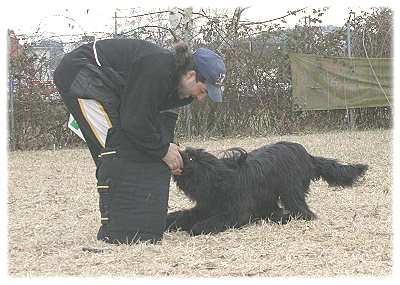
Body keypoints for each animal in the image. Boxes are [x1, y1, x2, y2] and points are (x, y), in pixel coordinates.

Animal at [166, 141, 368, 234]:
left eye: (190, 157)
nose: (176, 149)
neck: (220, 181)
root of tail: (306, 154)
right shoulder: (205, 207)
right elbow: (183, 215)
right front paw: (171, 222)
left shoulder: (236, 213)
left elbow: (211, 222)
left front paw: (196, 227)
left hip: (290, 190)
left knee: (304, 213)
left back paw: (281, 217)